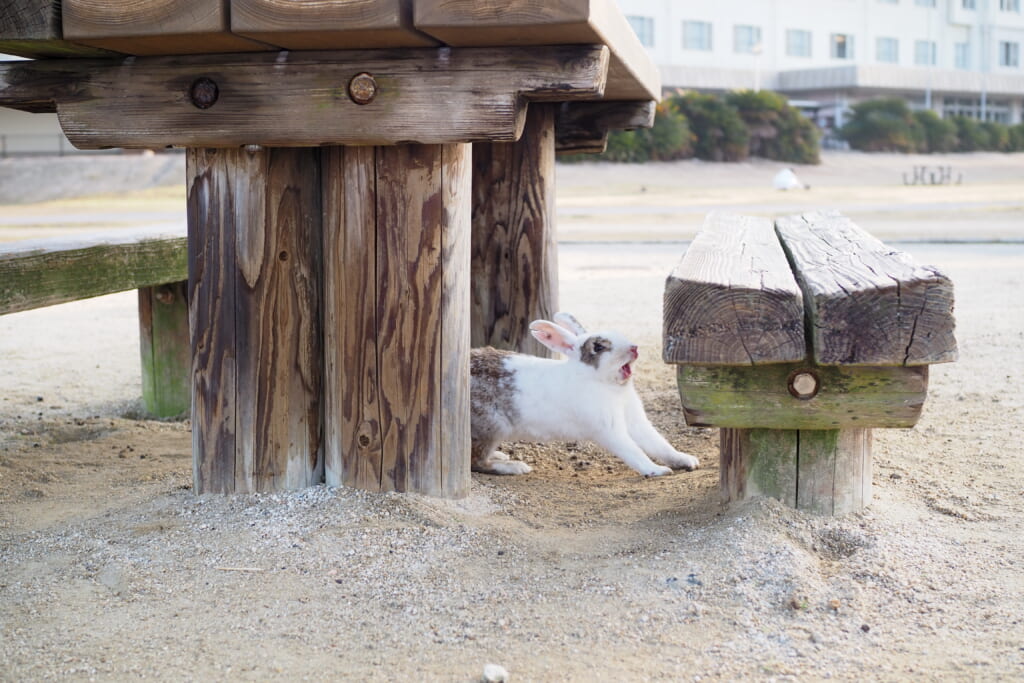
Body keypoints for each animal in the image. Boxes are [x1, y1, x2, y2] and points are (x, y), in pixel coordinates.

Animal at [468, 313, 696, 479]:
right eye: (598, 347)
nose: (634, 348)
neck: (600, 382)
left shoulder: (636, 422)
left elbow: (659, 444)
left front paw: (687, 460)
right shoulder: (609, 430)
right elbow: (633, 451)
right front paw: (657, 470)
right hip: (492, 428)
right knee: (476, 462)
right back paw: (513, 467)